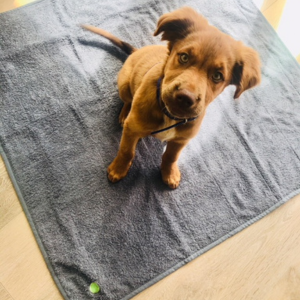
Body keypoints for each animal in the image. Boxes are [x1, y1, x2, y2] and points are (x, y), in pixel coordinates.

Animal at [82, 7, 260, 189]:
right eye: (184, 57)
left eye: (217, 76)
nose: (185, 98)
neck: (170, 115)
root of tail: (136, 51)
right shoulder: (131, 129)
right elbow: (127, 151)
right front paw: (118, 169)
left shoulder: (181, 140)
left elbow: (171, 157)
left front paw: (169, 173)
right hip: (124, 85)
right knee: (127, 101)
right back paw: (125, 114)